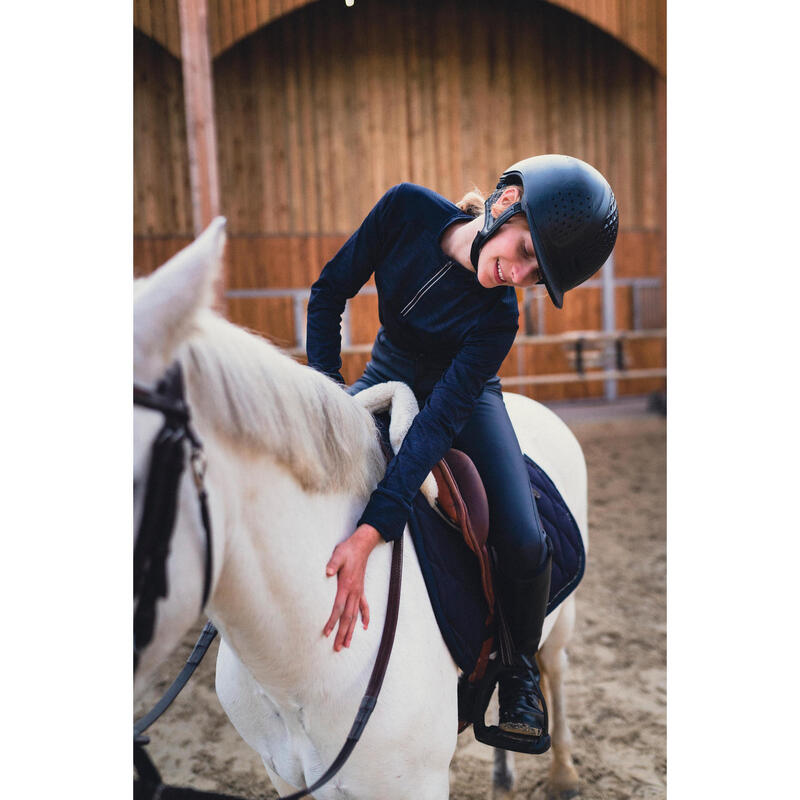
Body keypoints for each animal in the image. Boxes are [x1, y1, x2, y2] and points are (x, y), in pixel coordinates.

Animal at [134, 219, 588, 800]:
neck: (296, 671)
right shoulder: (282, 775)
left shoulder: (414, 785)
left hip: (557, 614)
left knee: (553, 667)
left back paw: (561, 769)